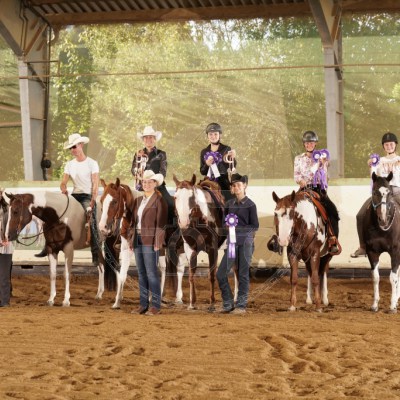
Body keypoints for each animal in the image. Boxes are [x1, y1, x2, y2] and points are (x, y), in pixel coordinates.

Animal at [98, 178, 187, 308]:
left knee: (180, 268)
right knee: (164, 268)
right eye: (101, 200)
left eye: (114, 201)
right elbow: (123, 274)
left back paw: (179, 297)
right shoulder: (126, 248)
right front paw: (117, 301)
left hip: (180, 245)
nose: (102, 227)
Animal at [173, 174, 232, 311]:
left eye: (191, 197)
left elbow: (211, 275)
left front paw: (212, 303)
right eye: (175, 196)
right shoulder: (190, 248)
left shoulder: (212, 249)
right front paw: (191, 302)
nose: (183, 222)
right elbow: (191, 274)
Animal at [364, 171, 400, 313]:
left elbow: (393, 277)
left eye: (389, 193)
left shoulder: (395, 252)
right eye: (374, 192)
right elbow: (376, 277)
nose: (383, 219)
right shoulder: (372, 252)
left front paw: (392, 305)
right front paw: (375, 304)